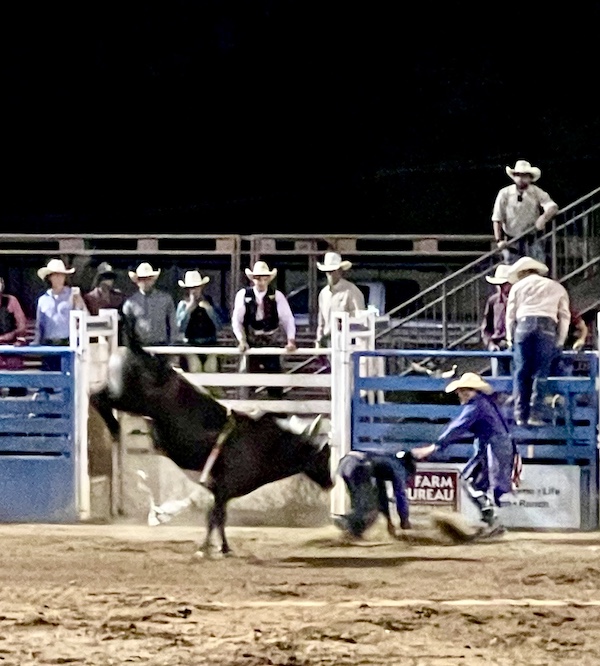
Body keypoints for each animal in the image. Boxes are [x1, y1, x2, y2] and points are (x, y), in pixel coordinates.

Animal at [90, 342, 332, 556]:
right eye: (324, 456)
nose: (331, 483)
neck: (266, 446)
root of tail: (142, 351)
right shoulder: (224, 489)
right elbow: (214, 518)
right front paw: (205, 548)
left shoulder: (220, 492)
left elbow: (218, 518)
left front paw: (222, 547)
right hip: (133, 399)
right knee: (96, 396)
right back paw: (114, 427)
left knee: (97, 392)